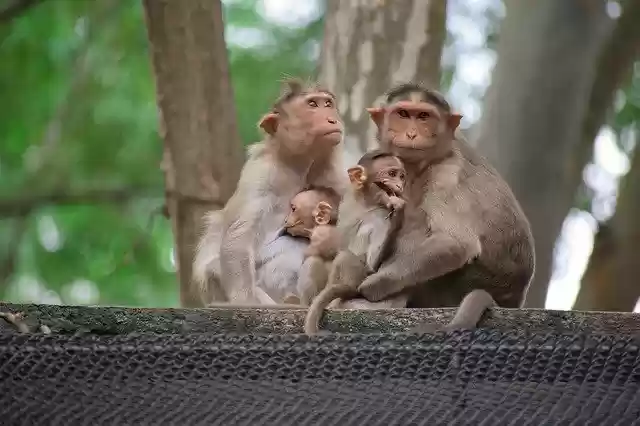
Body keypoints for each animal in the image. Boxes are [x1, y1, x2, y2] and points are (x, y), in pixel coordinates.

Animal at [192, 78, 348, 306]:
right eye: (312, 104)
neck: (303, 164)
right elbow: (238, 239)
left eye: (328, 104)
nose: (331, 119)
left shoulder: (338, 175)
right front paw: (246, 302)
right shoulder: (261, 173)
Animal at [304, 150, 409, 335]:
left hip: (358, 277)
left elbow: (372, 264)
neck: (367, 200)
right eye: (392, 174)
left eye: (401, 176)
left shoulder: (381, 215)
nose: (400, 185)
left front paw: (399, 211)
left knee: (346, 257)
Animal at [347, 83, 534, 315]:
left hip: (458, 286)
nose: (411, 134)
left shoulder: (446, 174)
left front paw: (367, 286)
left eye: (424, 117)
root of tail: (512, 299)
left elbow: (455, 242)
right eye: (403, 114)